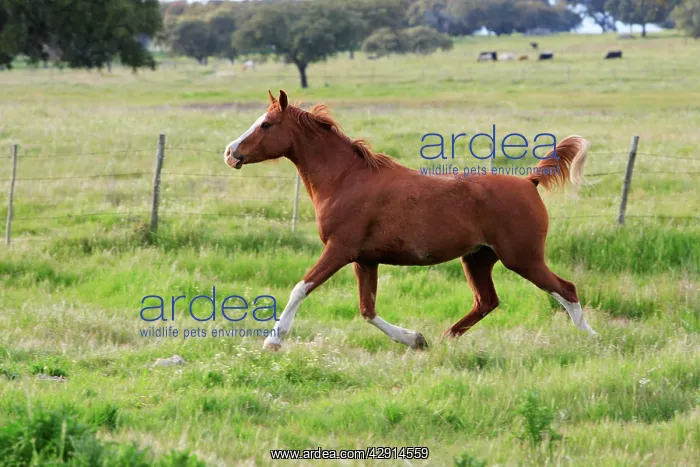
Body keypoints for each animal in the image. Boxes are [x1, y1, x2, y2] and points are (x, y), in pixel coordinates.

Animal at [223, 90, 597, 351]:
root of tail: (529, 182)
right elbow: (367, 309)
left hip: (522, 258)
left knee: (565, 289)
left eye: (266, 124)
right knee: (487, 301)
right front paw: (416, 339)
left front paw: (273, 341)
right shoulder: (365, 259)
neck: (345, 179)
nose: (230, 152)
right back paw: (444, 340)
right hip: (478, 258)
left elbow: (301, 288)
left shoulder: (340, 250)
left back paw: (592, 338)